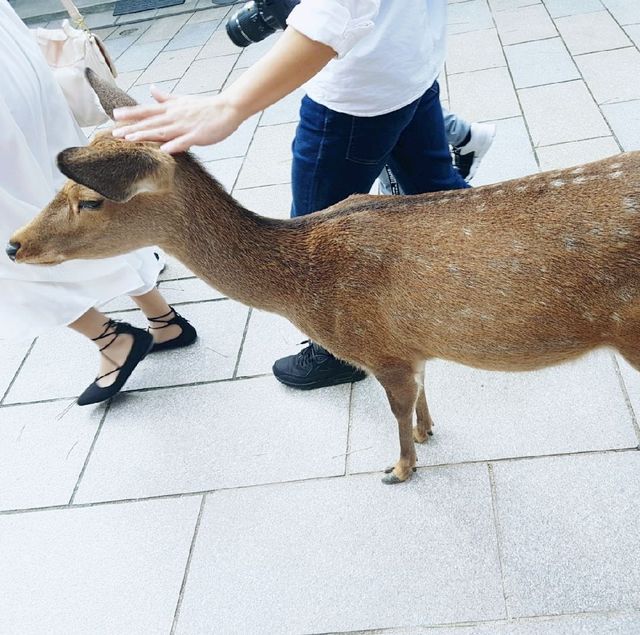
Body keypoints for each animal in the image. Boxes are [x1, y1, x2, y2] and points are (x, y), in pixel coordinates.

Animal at [5, 71, 640, 486]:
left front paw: (398, 469)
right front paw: (429, 435)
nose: (13, 245)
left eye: (90, 200)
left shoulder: (379, 349)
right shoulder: (410, 346)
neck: (301, 284)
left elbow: (397, 408)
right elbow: (422, 395)